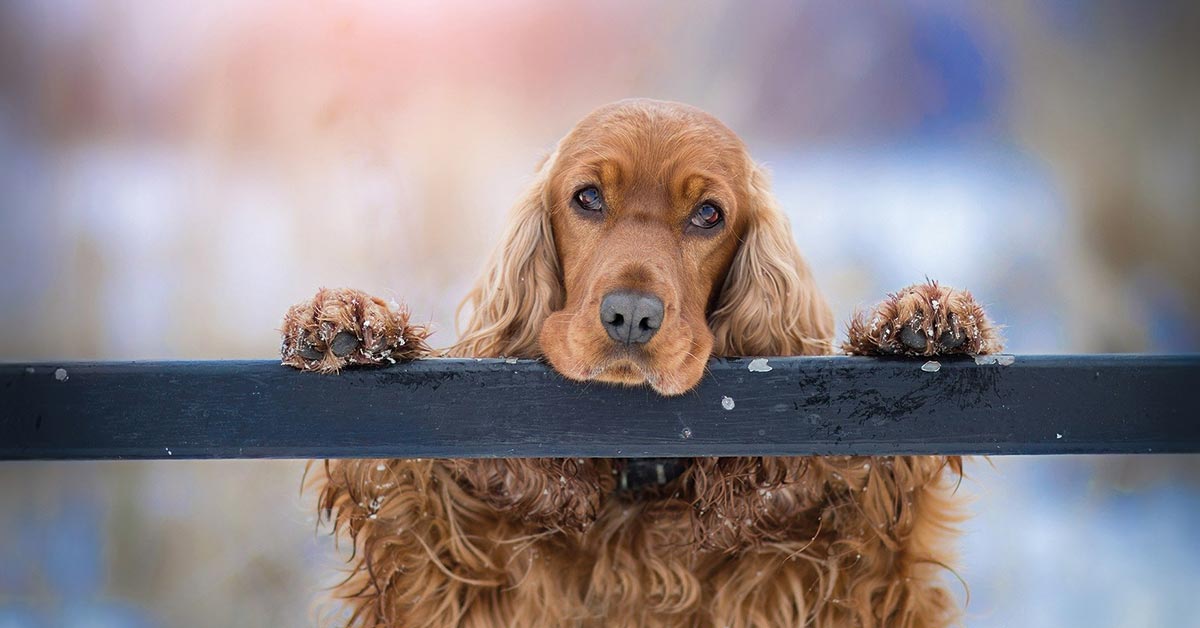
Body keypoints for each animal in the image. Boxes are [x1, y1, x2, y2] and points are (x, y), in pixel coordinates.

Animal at [283, 99, 1003, 628]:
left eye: (709, 213)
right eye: (587, 197)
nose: (630, 316)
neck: (637, 481)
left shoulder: (841, 576)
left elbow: (881, 516)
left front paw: (919, 322)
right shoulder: (452, 575)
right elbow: (408, 498)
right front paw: (350, 324)